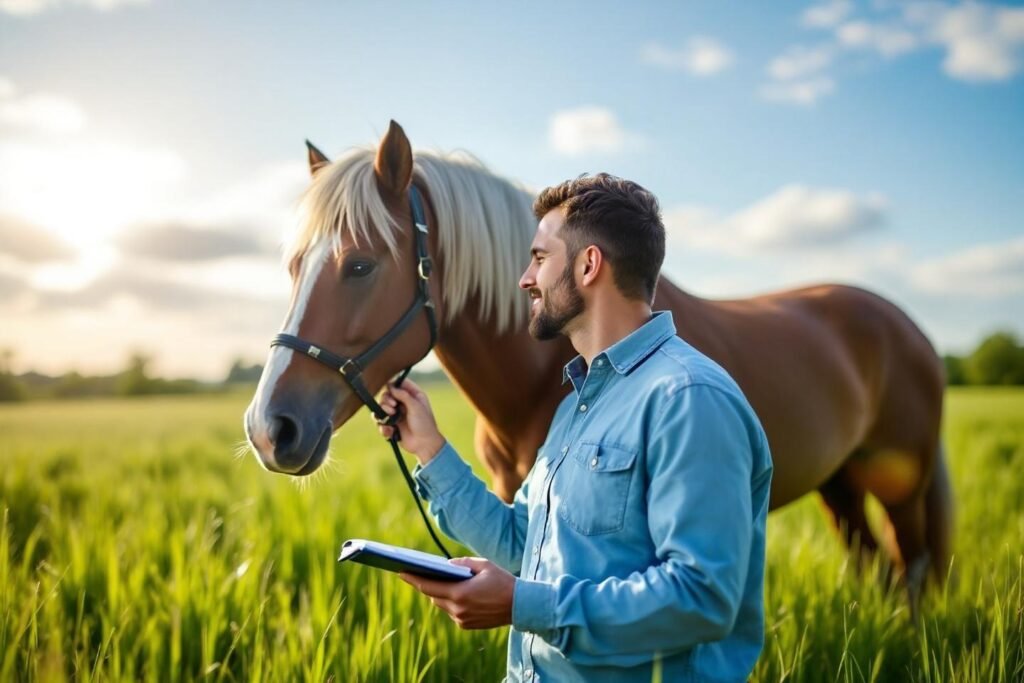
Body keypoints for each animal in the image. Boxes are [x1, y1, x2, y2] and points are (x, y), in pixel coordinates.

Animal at [244, 120, 953, 607]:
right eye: (294, 267)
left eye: (362, 265)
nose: (268, 429)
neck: (544, 371)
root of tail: (907, 326)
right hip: (841, 482)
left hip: (900, 485)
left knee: (912, 572)